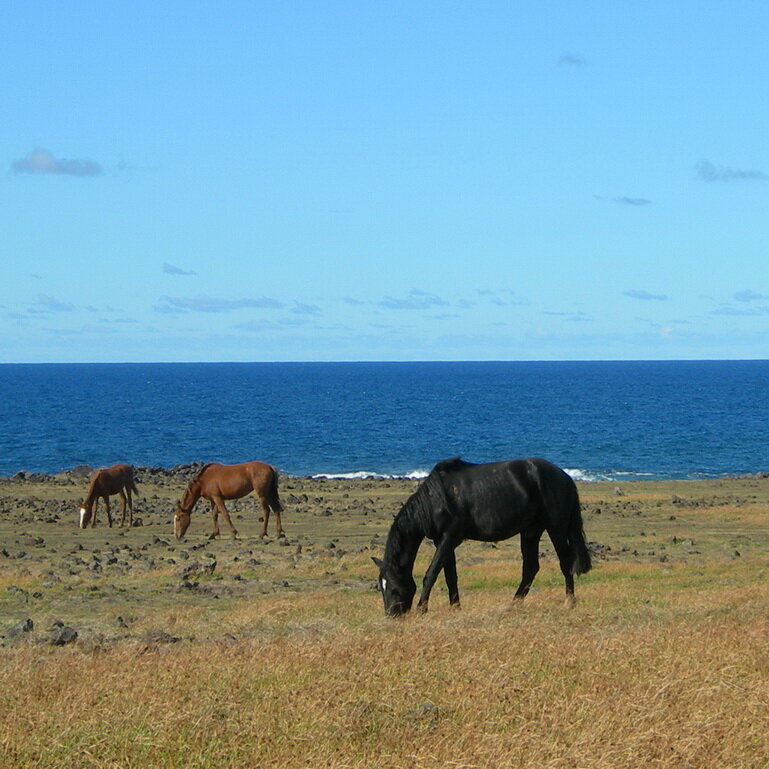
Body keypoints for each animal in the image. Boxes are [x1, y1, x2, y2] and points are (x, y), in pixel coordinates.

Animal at [376, 456, 592, 616]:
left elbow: (432, 573)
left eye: (393, 587)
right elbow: (450, 576)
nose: (391, 615)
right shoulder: (444, 542)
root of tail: (565, 477)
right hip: (531, 531)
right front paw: (456, 608)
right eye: (381, 586)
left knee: (565, 562)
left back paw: (569, 602)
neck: (435, 500)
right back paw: (513, 605)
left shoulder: (449, 538)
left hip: (556, 528)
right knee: (530, 568)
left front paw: (422, 609)